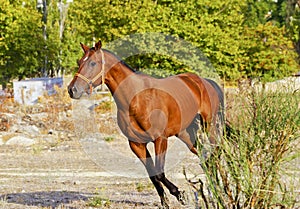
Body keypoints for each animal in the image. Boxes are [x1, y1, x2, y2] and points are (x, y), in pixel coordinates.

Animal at [67, 40, 223, 208]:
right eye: (79, 62)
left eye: (93, 63)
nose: (72, 90)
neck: (137, 98)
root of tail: (204, 82)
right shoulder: (137, 144)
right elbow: (153, 175)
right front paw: (167, 201)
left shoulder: (160, 139)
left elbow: (159, 173)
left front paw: (180, 195)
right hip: (186, 133)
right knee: (205, 157)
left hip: (209, 126)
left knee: (215, 154)